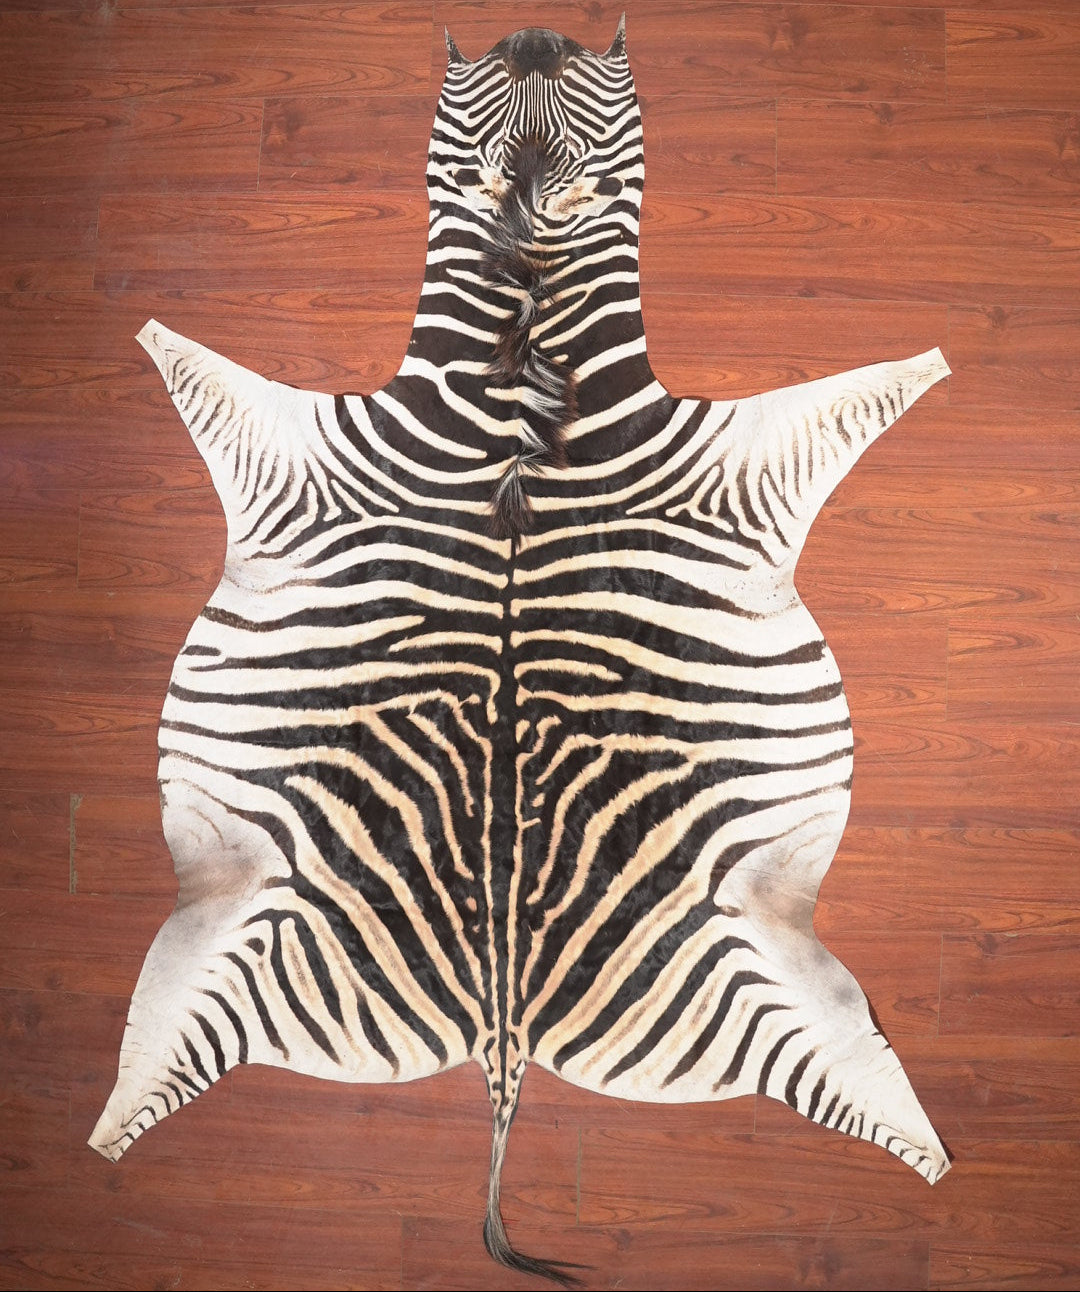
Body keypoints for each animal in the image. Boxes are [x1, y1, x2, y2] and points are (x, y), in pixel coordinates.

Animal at [91, 21, 951, 1285]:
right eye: (489, 82)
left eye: (594, 82)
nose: (535, 31)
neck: (520, 367)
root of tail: (503, 1038)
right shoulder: (306, 447)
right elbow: (199, 364)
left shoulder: (732, 452)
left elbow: (860, 389)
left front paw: (930, 363)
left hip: (750, 948)